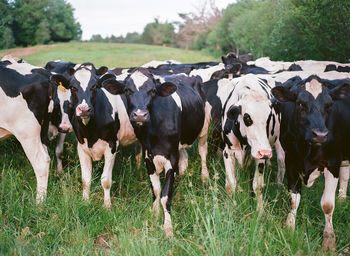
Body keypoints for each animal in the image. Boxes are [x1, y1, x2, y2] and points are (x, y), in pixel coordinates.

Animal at [49, 63, 137, 209]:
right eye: (73, 87)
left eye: (94, 86)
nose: (84, 109)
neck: (90, 132)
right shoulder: (81, 147)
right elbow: (86, 179)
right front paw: (85, 201)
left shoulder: (112, 146)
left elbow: (106, 180)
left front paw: (107, 206)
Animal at [100, 67, 206, 236]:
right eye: (127, 90)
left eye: (152, 91)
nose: (139, 115)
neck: (154, 133)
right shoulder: (147, 157)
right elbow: (156, 190)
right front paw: (155, 214)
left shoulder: (171, 158)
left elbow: (165, 195)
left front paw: (168, 227)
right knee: (184, 157)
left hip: (204, 129)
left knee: (203, 152)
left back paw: (205, 177)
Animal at [221, 73, 284, 210]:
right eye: (247, 117)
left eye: (269, 117)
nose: (265, 152)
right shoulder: (228, 152)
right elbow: (231, 184)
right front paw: (229, 206)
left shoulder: (260, 157)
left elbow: (258, 186)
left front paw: (260, 210)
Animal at [272, 74, 350, 250]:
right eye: (300, 103)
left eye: (328, 105)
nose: (320, 135)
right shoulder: (291, 160)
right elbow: (293, 199)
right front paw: (289, 228)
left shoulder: (333, 162)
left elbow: (327, 204)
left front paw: (329, 241)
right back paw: (342, 200)